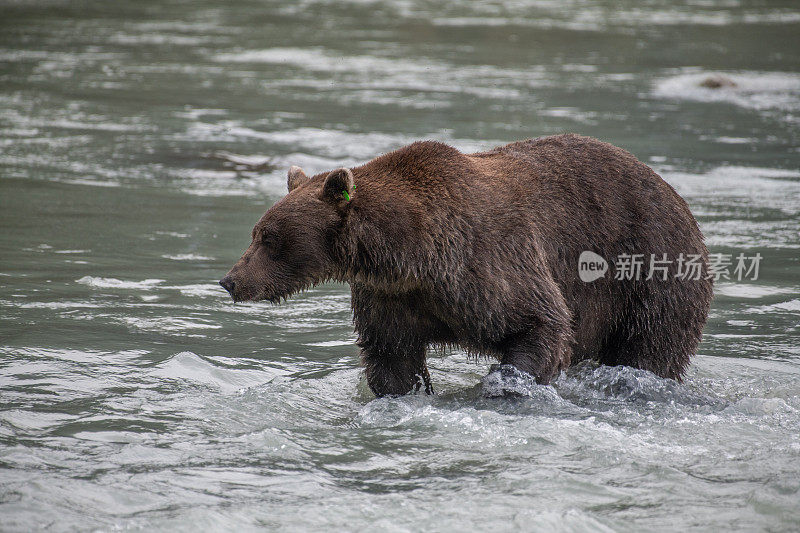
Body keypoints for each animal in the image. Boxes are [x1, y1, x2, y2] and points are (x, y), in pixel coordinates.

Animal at [219, 135, 712, 396]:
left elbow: (541, 323)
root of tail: (679, 198)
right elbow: (392, 357)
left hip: (651, 269)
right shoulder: (391, 297)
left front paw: (503, 385)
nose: (230, 280)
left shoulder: (487, 263)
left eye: (268, 237)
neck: (412, 255)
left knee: (651, 345)